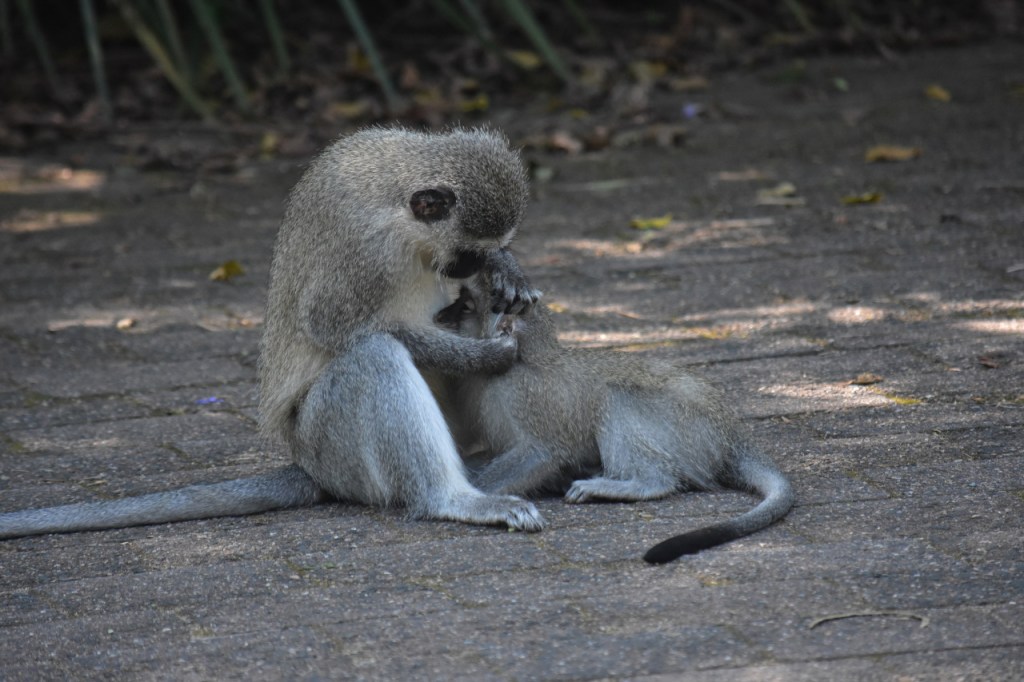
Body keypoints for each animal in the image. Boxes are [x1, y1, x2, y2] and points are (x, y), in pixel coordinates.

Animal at [0, 127, 547, 540]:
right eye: (466, 253)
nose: (470, 268)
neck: (395, 196)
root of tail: (309, 467)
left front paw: (508, 272)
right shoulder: (365, 253)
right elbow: (335, 327)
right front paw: (484, 355)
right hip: (332, 447)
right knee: (374, 356)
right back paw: (450, 498)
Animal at [433, 278, 794, 564]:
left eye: (466, 306)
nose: (439, 317)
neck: (519, 359)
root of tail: (730, 433)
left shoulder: (525, 396)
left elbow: (543, 451)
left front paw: (477, 500)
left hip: (690, 429)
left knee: (617, 398)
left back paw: (642, 483)